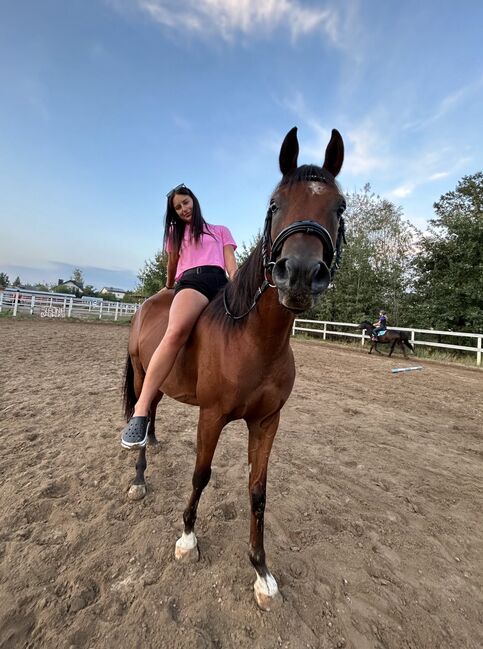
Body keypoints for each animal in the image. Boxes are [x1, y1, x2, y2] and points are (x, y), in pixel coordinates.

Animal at [122, 128, 348, 612]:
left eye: (338, 207)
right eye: (274, 203)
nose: (300, 274)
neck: (253, 340)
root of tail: (154, 299)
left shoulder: (266, 422)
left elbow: (258, 492)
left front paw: (262, 573)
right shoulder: (212, 416)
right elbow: (201, 474)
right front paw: (187, 538)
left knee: (154, 409)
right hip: (141, 373)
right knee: (141, 410)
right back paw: (139, 474)